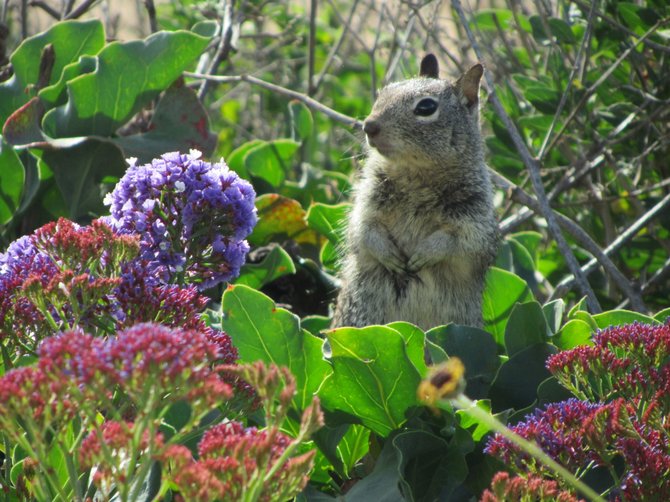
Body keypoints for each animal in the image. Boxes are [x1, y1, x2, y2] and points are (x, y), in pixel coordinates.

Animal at [334, 54, 498, 330]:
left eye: (426, 107)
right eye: (382, 94)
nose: (369, 126)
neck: (416, 177)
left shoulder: (477, 217)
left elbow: (461, 243)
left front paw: (425, 254)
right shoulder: (367, 201)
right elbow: (363, 230)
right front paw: (389, 256)